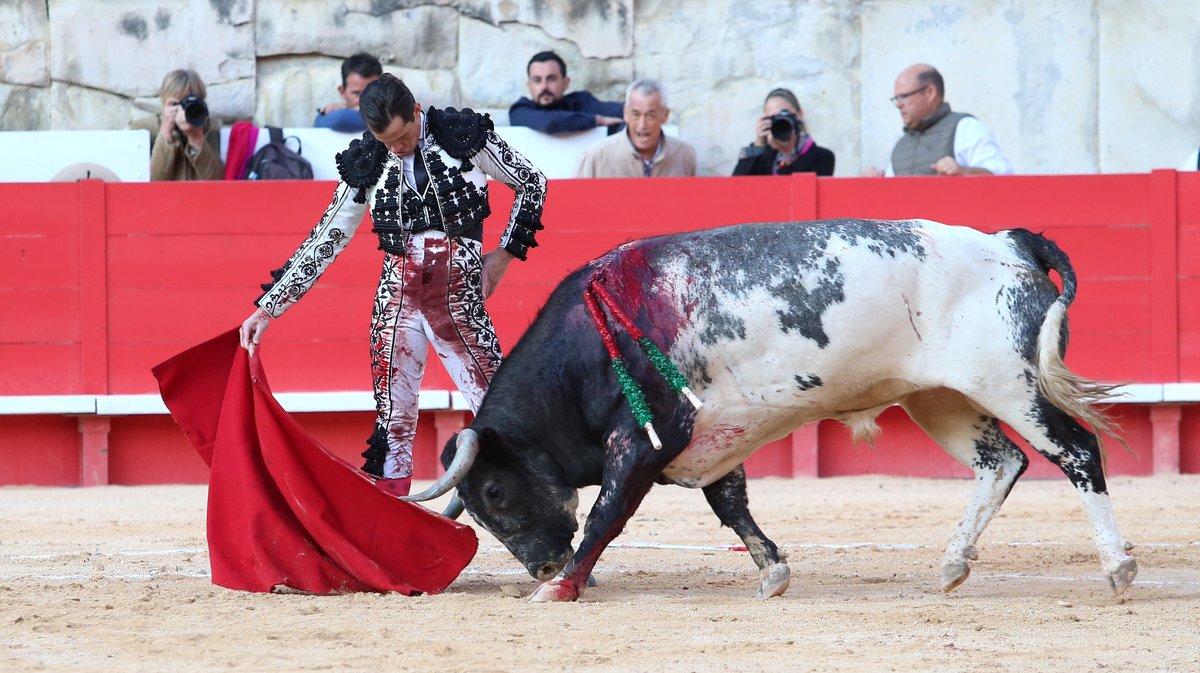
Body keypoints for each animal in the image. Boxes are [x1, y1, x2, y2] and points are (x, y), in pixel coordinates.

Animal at [400, 218, 1132, 599]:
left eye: (494, 491)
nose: (541, 566)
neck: (590, 345)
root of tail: (1010, 243)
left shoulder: (643, 442)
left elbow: (607, 515)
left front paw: (562, 588)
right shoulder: (713, 435)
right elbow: (731, 506)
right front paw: (774, 571)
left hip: (1013, 382)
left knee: (1075, 452)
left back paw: (1118, 566)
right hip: (942, 398)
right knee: (1000, 462)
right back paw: (953, 563)